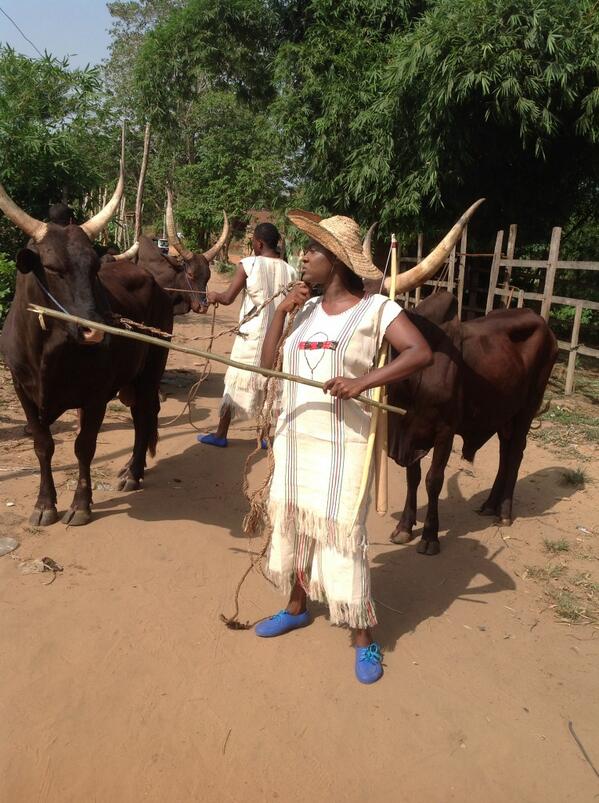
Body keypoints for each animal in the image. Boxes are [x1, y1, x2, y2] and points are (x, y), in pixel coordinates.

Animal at [386, 292, 560, 556]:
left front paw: (430, 537)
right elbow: (412, 477)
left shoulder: (445, 431)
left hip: (527, 407)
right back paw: (490, 504)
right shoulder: (408, 436)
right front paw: (404, 528)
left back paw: (504, 513)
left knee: (515, 454)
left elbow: (433, 480)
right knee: (505, 453)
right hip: (503, 413)